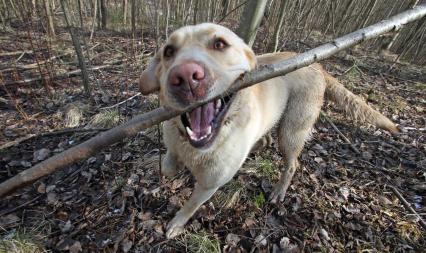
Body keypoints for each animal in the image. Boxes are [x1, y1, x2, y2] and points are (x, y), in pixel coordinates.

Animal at [138, 22, 398, 238]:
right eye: (168, 51)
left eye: (219, 44)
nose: (186, 76)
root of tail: (316, 63)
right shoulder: (174, 140)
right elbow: (168, 165)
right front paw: (173, 167)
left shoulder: (210, 184)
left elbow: (191, 205)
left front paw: (177, 223)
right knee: (266, 141)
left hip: (292, 130)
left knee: (292, 164)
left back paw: (278, 191)